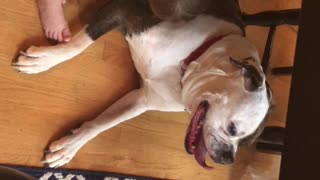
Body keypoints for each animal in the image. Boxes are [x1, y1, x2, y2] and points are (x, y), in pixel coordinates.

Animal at [12, 0, 272, 169]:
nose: (228, 158)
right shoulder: (124, 12)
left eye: (245, 143)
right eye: (232, 129)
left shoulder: (141, 99)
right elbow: (78, 44)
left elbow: (103, 124)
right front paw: (46, 59)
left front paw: (69, 147)